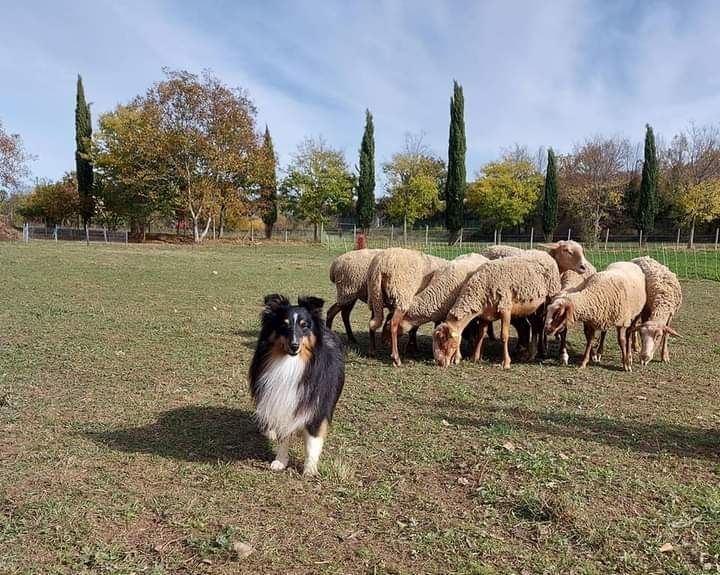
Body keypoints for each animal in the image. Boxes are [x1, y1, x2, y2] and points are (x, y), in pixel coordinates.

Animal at [250, 294, 346, 474]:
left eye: (304, 326)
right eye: (284, 325)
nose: (294, 346)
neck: (291, 363)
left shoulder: (317, 405)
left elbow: (313, 441)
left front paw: (309, 469)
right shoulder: (282, 401)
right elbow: (283, 435)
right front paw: (280, 461)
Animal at [430, 242, 588, 368]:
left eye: (443, 341)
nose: (439, 362)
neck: (479, 290)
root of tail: (544, 254)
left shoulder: (505, 309)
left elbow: (504, 336)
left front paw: (506, 362)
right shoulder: (486, 314)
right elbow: (481, 334)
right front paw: (475, 357)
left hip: (550, 298)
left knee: (545, 326)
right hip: (536, 306)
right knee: (537, 326)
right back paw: (532, 353)